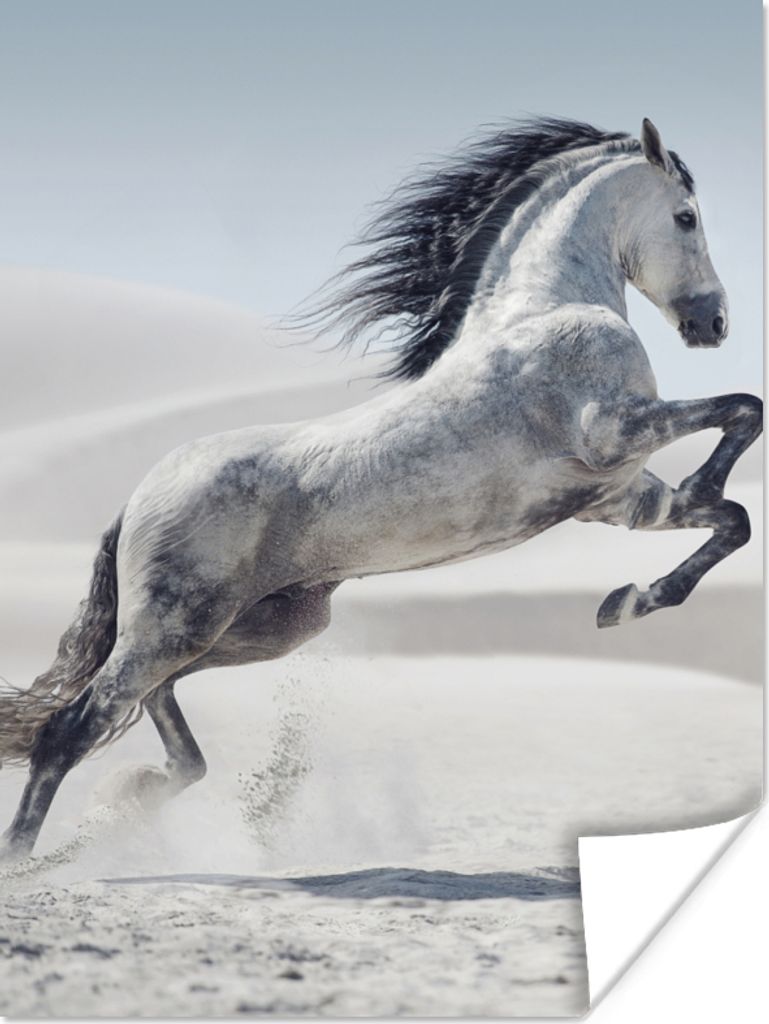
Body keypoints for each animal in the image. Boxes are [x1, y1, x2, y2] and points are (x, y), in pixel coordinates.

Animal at [0, 116, 761, 862]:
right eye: (687, 216)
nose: (714, 324)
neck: (545, 311)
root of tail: (136, 499)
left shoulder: (617, 498)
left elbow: (732, 518)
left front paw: (626, 602)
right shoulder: (614, 430)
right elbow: (743, 410)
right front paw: (673, 524)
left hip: (263, 627)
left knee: (154, 709)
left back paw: (132, 802)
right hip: (175, 625)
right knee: (72, 727)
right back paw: (29, 858)